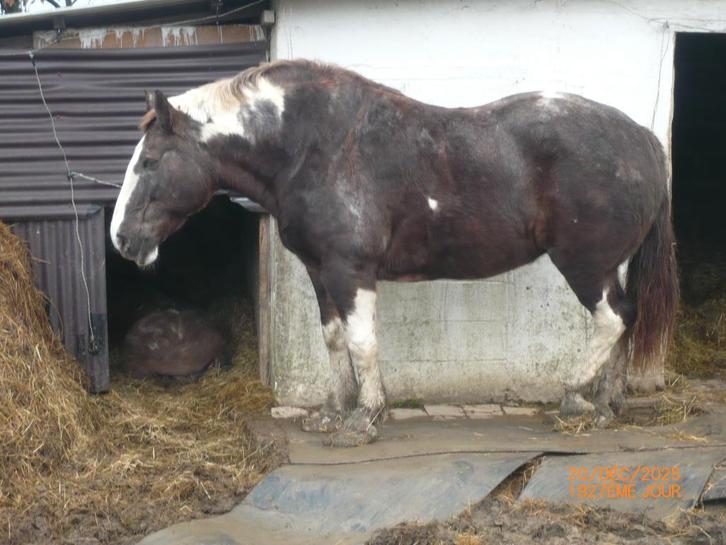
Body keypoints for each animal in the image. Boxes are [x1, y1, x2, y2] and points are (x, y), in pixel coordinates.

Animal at [110, 60, 678, 447]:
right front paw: (332, 411)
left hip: (584, 264)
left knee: (611, 319)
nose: (121, 238)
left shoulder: (351, 270)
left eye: (151, 160)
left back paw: (575, 397)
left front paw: (364, 419)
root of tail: (642, 139)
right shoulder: (320, 271)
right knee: (625, 318)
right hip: (609, 265)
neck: (313, 147)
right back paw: (607, 403)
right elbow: (334, 340)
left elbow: (363, 343)